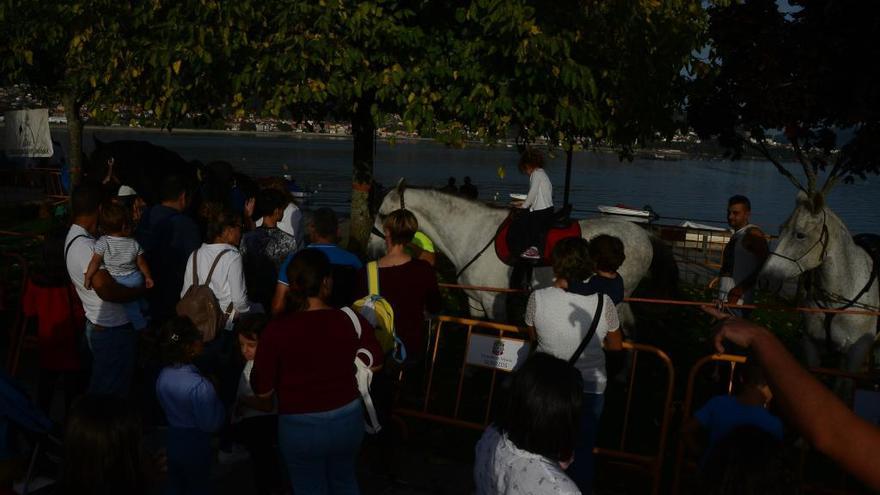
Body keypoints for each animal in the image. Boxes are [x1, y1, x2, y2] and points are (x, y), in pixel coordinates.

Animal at [368, 181, 676, 326]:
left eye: (383, 215)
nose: (372, 248)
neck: (471, 232)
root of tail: (645, 234)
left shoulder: (494, 301)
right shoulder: (474, 300)